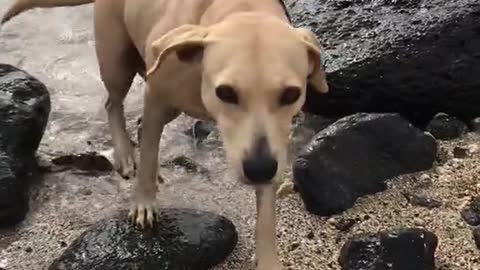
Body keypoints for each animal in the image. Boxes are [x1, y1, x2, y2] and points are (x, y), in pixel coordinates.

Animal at [0, 0, 326, 268]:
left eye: (291, 94)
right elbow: (147, 155)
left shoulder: (274, 143)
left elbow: (267, 209)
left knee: (141, 125)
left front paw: (269, 258)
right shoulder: (156, 96)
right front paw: (144, 201)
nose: (258, 170)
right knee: (114, 104)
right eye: (225, 93)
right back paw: (125, 153)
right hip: (116, 59)